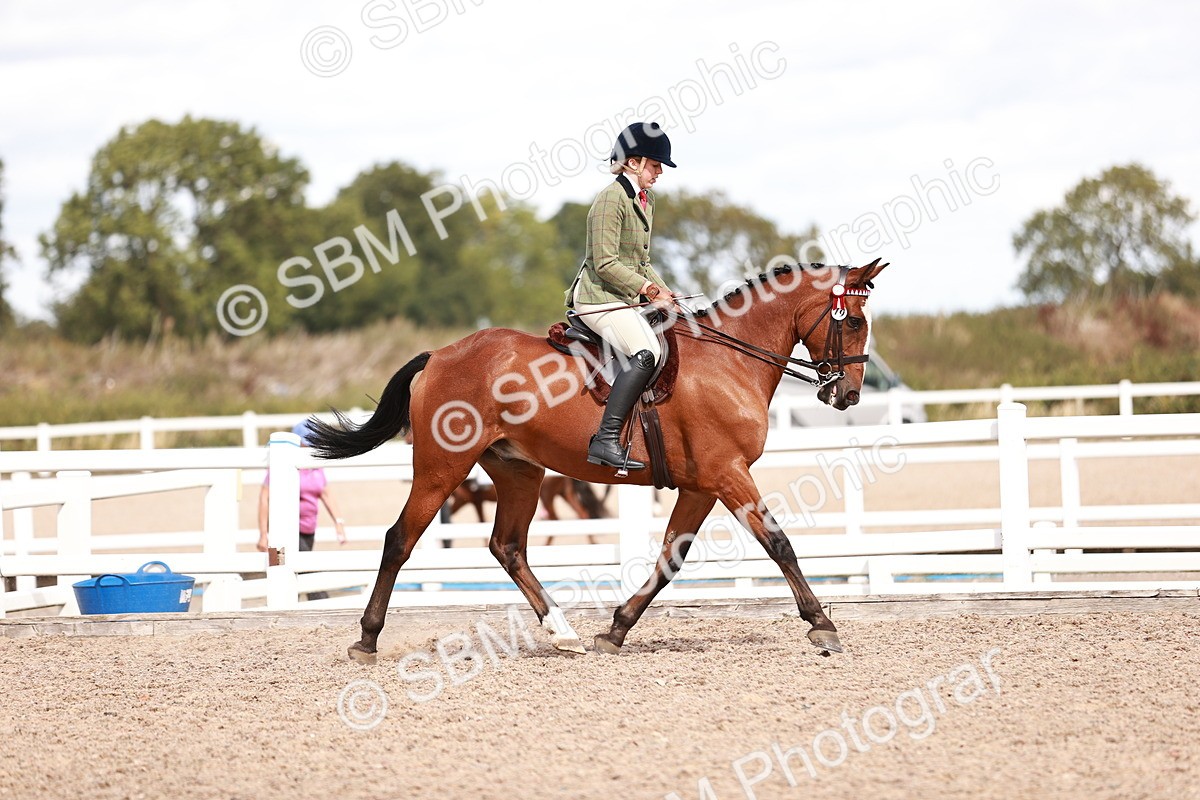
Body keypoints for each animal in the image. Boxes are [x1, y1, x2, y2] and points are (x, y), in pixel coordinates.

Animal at [308, 259, 887, 663]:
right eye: (855, 321)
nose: (849, 396)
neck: (731, 361)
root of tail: (440, 355)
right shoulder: (728, 474)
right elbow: (778, 542)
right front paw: (822, 626)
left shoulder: (703, 484)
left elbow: (670, 558)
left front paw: (616, 629)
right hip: (441, 467)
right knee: (399, 540)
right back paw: (366, 640)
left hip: (519, 470)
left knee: (508, 547)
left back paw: (563, 633)